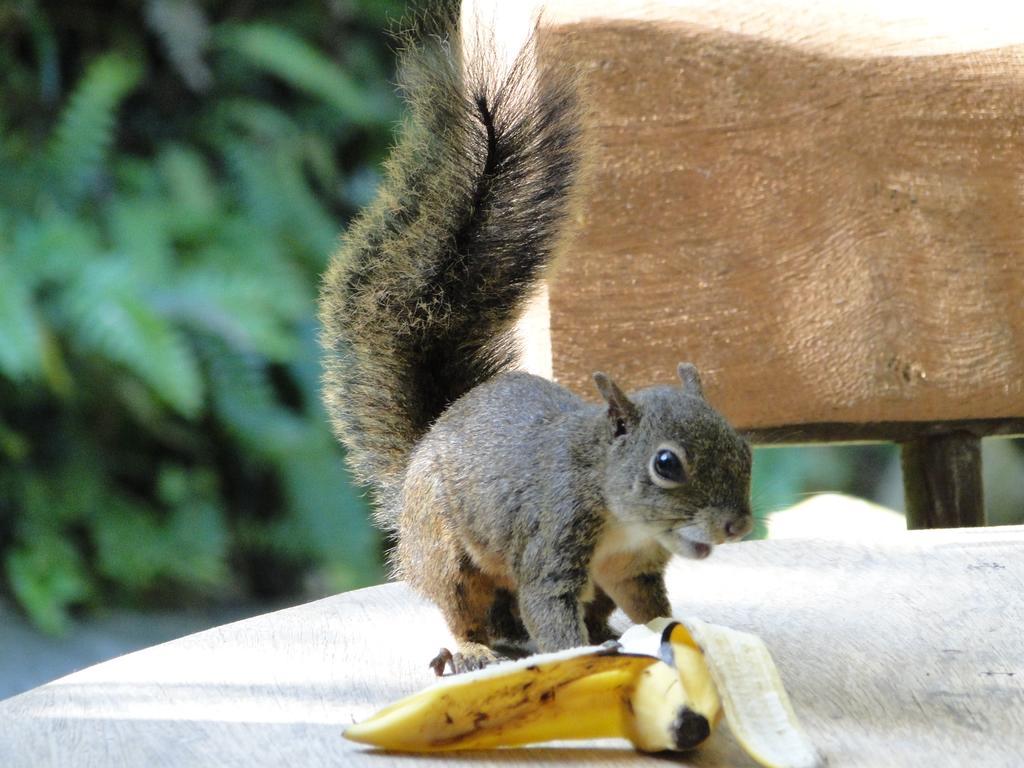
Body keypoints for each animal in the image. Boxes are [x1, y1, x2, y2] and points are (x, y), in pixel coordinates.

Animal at [319, 10, 753, 671]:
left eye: (744, 447)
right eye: (666, 464)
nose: (736, 526)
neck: (615, 501)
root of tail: (425, 445)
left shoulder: (631, 568)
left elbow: (649, 604)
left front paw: (678, 635)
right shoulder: (553, 540)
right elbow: (549, 610)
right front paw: (578, 658)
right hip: (448, 552)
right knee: (462, 605)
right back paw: (472, 647)